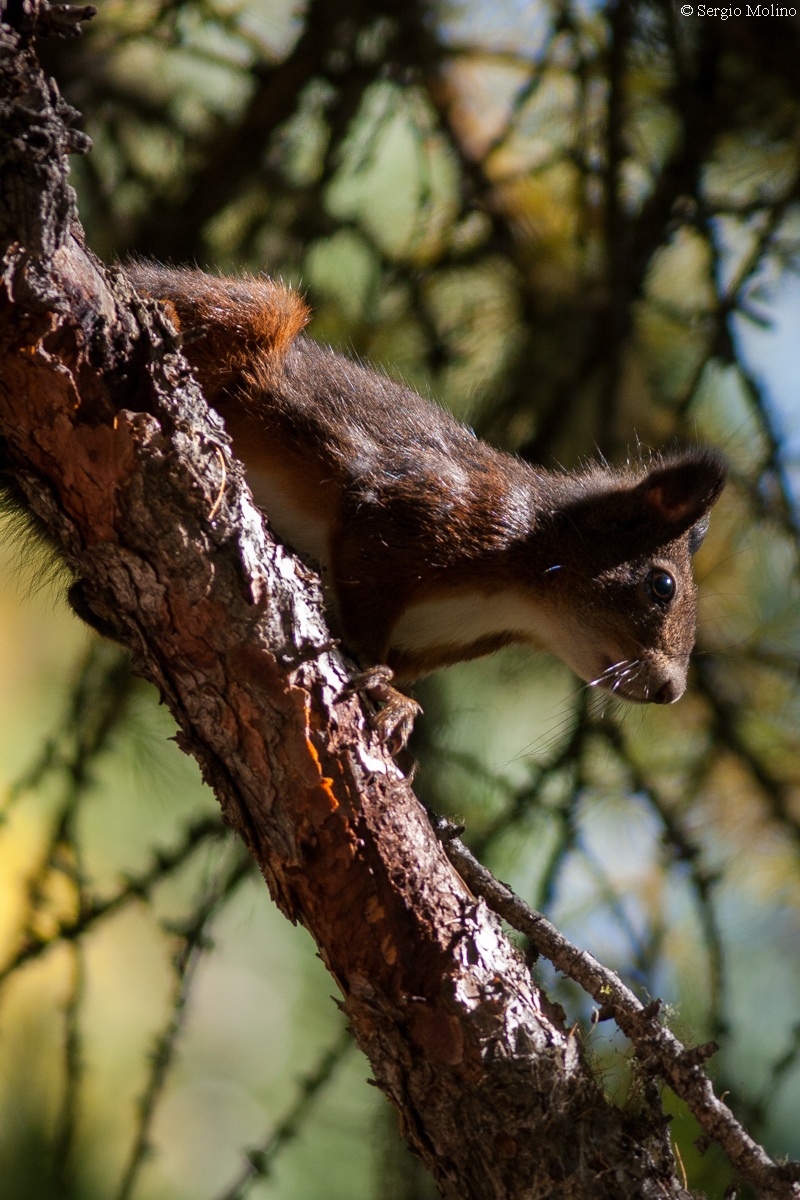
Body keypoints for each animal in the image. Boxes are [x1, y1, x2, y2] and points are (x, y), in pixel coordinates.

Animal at [122, 263, 726, 737]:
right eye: (662, 585)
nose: (671, 691)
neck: (524, 591)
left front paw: (400, 703)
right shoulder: (419, 512)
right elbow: (364, 621)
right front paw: (391, 698)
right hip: (263, 313)